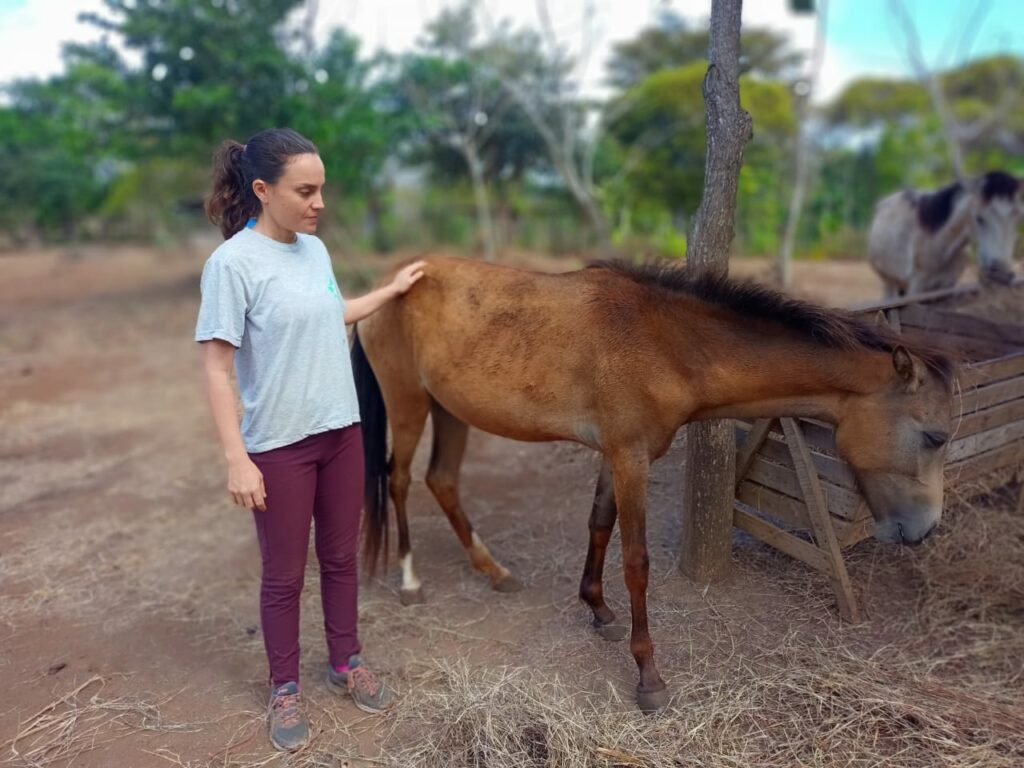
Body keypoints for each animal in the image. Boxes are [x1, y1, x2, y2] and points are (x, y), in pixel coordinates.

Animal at [350, 257, 950, 716]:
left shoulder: (614, 456)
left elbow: (599, 525)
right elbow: (635, 562)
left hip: (450, 410)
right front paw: (649, 676)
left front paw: (598, 611)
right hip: (409, 403)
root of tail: (396, 278)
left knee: (443, 482)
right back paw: (410, 582)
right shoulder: (630, 458)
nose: (924, 530)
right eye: (935, 435)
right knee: (400, 481)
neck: (666, 342)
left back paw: (494, 572)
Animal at [868, 172, 1019, 301]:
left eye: (1016, 218)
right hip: (889, 282)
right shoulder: (916, 288)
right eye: (979, 218)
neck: (938, 246)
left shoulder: (947, 286)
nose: (1000, 271)